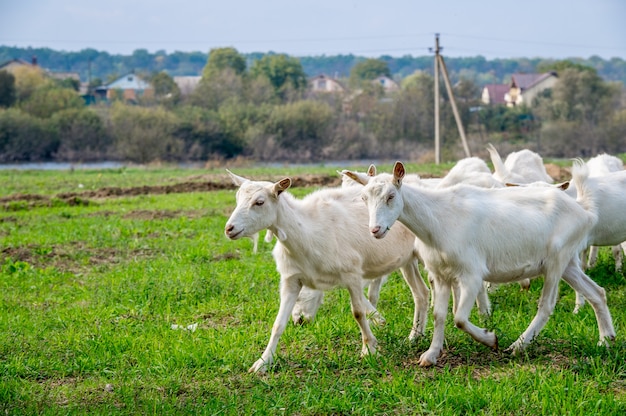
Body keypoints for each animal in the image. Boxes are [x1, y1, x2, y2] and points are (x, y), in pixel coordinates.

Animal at [223, 171, 428, 372]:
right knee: (421, 293)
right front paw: (263, 363)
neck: (307, 232)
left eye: (259, 202)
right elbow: (278, 323)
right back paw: (415, 336)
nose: (229, 229)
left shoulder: (352, 274)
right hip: (408, 260)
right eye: (237, 198)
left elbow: (358, 312)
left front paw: (369, 348)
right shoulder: (292, 280)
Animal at [346, 161, 616, 366]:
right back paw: (606, 340)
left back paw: (518, 346)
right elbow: (439, 314)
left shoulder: (471, 274)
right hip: (568, 262)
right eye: (363, 198)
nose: (375, 229)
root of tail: (584, 211)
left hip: (557, 260)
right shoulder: (440, 274)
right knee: (597, 292)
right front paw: (430, 355)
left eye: (391, 196)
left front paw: (490, 338)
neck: (438, 220)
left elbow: (459, 318)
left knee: (547, 305)